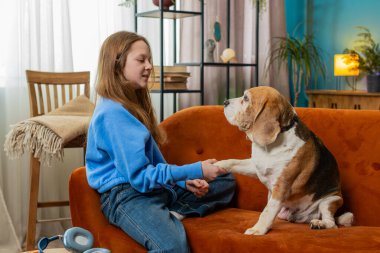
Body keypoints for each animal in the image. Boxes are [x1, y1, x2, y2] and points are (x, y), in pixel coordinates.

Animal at [215, 86, 354, 235]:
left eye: (246, 98)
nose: (225, 102)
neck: (270, 147)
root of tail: (302, 218)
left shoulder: (281, 186)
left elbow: (267, 211)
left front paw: (258, 229)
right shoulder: (256, 166)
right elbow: (232, 161)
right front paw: (217, 165)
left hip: (330, 200)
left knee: (332, 223)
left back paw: (319, 223)